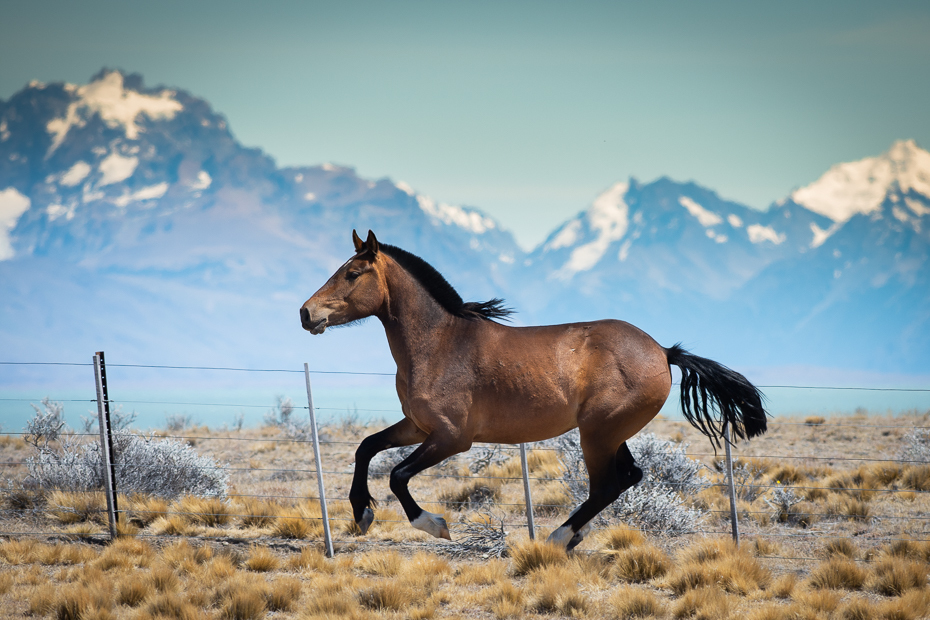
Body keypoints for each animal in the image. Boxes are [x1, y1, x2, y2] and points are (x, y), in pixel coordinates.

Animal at [300, 230, 764, 548]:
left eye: (352, 273)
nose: (306, 313)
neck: (439, 343)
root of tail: (663, 351)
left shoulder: (452, 437)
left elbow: (397, 475)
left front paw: (435, 526)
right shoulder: (417, 427)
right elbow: (365, 448)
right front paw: (361, 513)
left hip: (598, 433)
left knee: (607, 485)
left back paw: (559, 538)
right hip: (611, 432)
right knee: (629, 476)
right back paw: (573, 536)